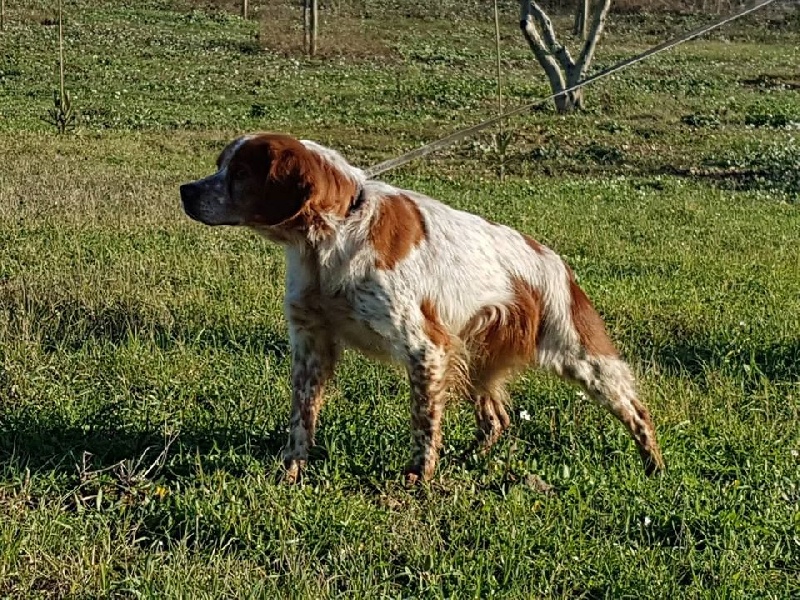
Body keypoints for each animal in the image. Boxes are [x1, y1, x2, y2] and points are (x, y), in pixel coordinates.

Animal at [180, 134, 664, 486]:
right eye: (222, 165)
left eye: (240, 173)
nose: (185, 190)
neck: (328, 241)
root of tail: (557, 263)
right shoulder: (311, 341)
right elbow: (302, 417)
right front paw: (290, 472)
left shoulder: (425, 348)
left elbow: (423, 421)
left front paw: (419, 475)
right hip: (476, 356)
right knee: (497, 418)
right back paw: (470, 456)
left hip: (581, 357)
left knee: (636, 411)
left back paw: (654, 466)